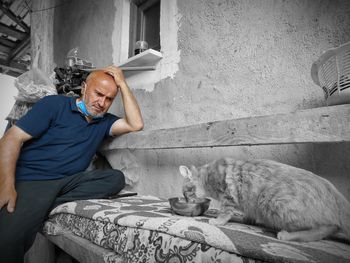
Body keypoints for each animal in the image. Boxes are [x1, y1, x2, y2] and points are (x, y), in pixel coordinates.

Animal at [180, 158, 350, 242]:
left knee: (324, 228)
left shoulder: (228, 195)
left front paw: (217, 221)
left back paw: (287, 236)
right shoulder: (247, 205)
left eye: (186, 194)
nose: (187, 200)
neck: (207, 176)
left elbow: (225, 212)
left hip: (272, 201)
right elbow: (247, 215)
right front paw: (244, 219)